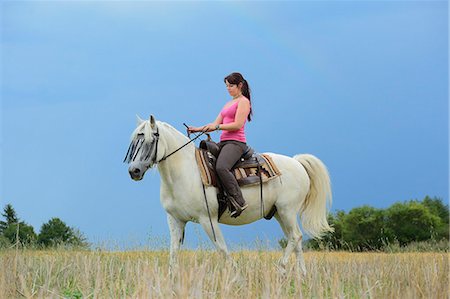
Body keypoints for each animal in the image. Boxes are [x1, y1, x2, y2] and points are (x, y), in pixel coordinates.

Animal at [125, 116, 332, 276]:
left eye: (151, 140)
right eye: (134, 142)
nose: (134, 171)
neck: (184, 173)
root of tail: (297, 163)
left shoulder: (207, 219)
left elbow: (222, 249)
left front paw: (236, 275)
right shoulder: (175, 220)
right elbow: (174, 252)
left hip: (287, 210)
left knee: (295, 237)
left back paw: (281, 268)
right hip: (279, 213)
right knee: (295, 239)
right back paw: (301, 275)